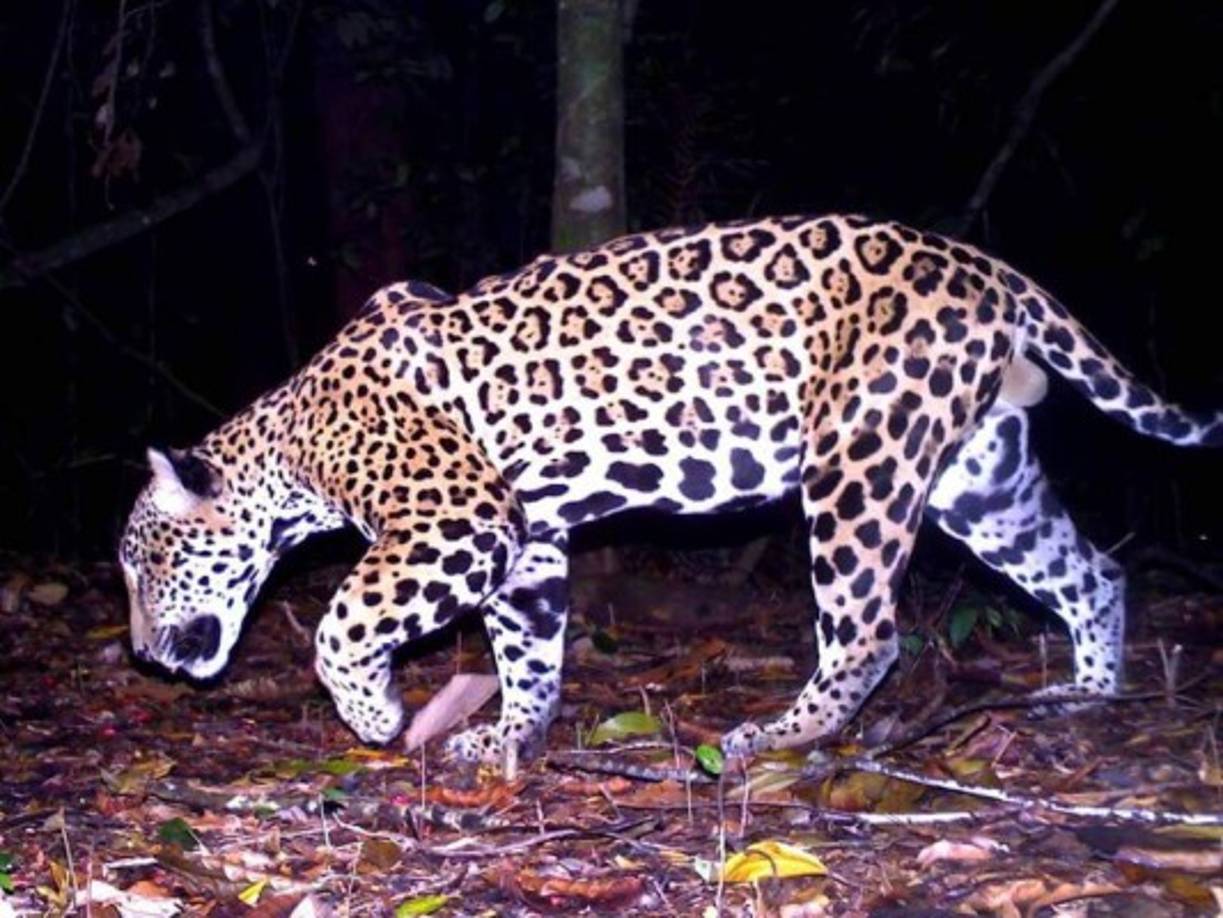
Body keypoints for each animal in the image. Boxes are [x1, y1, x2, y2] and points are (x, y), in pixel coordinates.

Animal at [119, 214, 1221, 765]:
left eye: (144, 565)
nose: (138, 652)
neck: (292, 442)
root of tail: (989, 268)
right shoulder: (529, 540)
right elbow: (528, 650)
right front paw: (510, 736)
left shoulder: (455, 518)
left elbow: (339, 623)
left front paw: (377, 718)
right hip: (977, 478)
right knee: (1092, 573)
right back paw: (1086, 692)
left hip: (859, 466)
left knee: (868, 633)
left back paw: (776, 735)